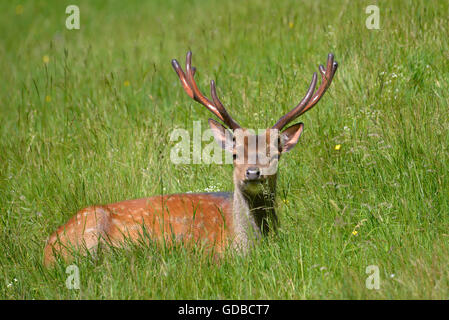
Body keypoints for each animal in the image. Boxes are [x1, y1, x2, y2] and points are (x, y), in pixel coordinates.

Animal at [43, 51, 336, 266]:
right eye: (234, 154)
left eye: (275, 153)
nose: (253, 173)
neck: (244, 241)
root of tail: (46, 249)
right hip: (88, 232)